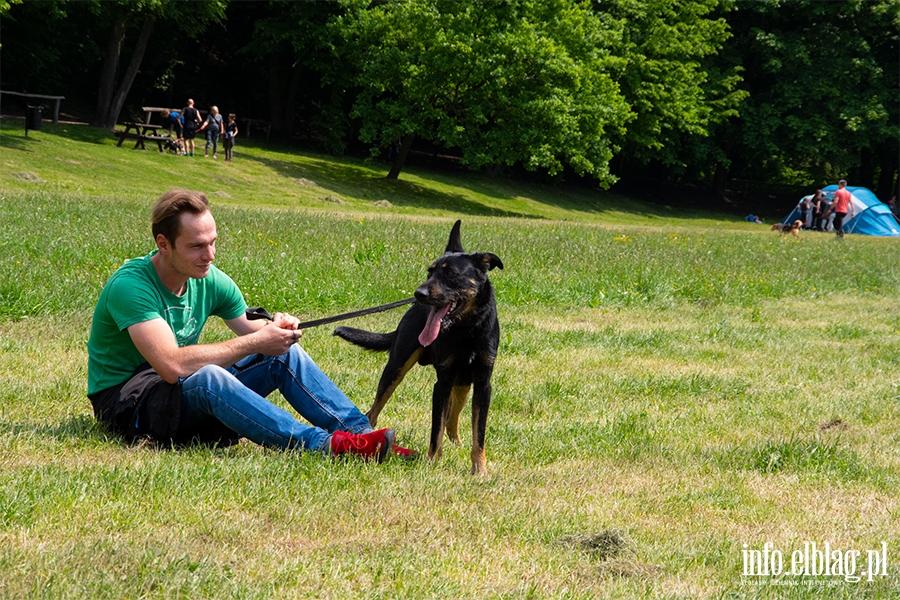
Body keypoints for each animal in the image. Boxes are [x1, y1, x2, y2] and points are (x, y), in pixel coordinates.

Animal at [334, 219, 502, 474]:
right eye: (430, 271)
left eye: (450, 273)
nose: (419, 293)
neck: (468, 329)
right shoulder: (442, 383)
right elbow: (436, 431)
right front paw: (433, 464)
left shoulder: (482, 384)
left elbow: (478, 434)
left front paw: (479, 469)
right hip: (396, 368)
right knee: (373, 412)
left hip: (463, 383)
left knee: (452, 419)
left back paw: (457, 444)